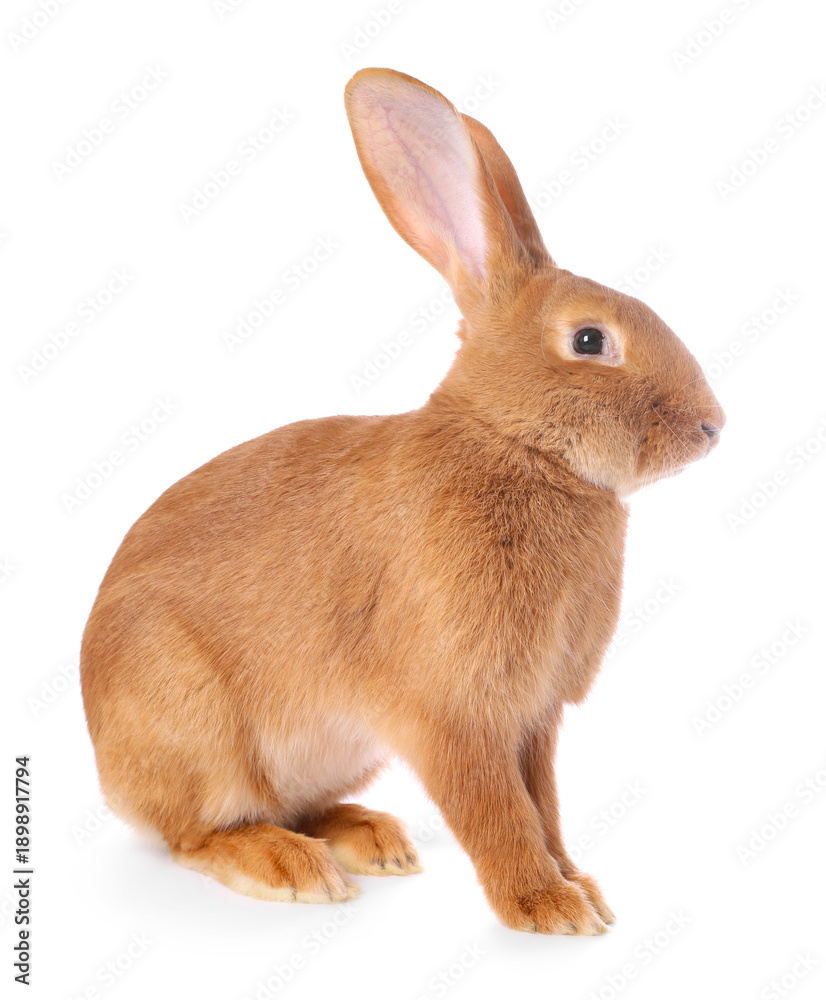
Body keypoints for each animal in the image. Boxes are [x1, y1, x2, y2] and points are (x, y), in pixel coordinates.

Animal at [80, 67, 724, 935]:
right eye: (590, 340)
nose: (712, 425)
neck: (512, 443)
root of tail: (105, 762)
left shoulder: (533, 719)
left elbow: (544, 806)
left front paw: (580, 888)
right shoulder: (454, 712)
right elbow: (499, 813)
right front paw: (547, 907)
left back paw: (371, 839)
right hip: (193, 723)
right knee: (198, 832)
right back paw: (289, 867)